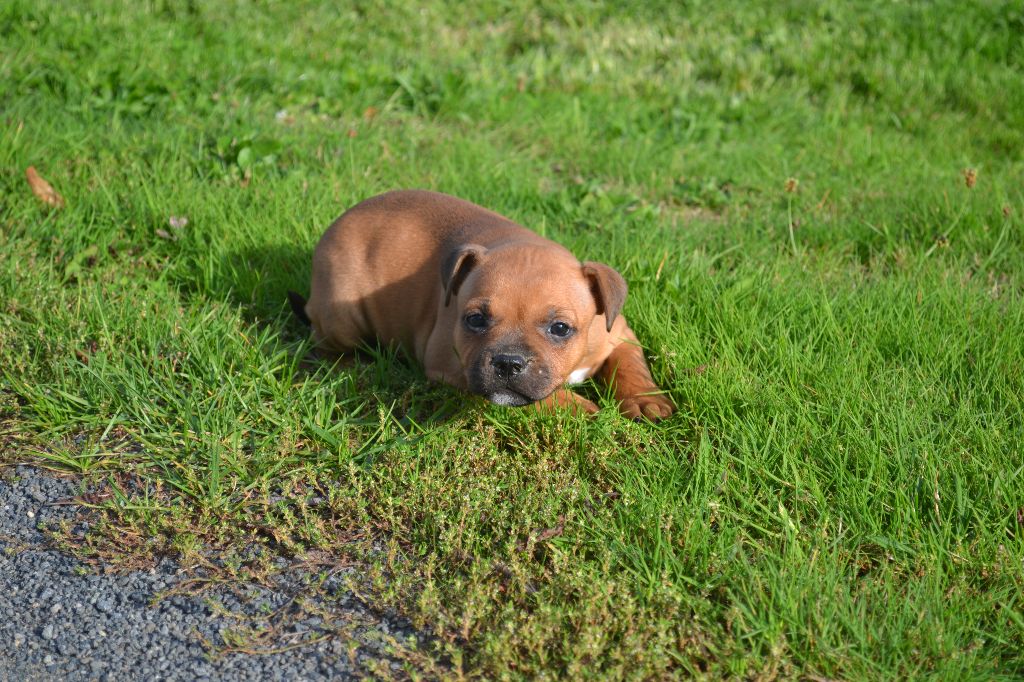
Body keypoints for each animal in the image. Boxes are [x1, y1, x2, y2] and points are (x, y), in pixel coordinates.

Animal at [289, 190, 674, 421]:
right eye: (475, 320)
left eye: (560, 328)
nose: (507, 363)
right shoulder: (450, 365)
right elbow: (545, 397)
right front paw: (582, 410)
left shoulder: (619, 333)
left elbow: (630, 366)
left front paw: (645, 399)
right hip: (342, 313)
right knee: (326, 346)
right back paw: (353, 366)